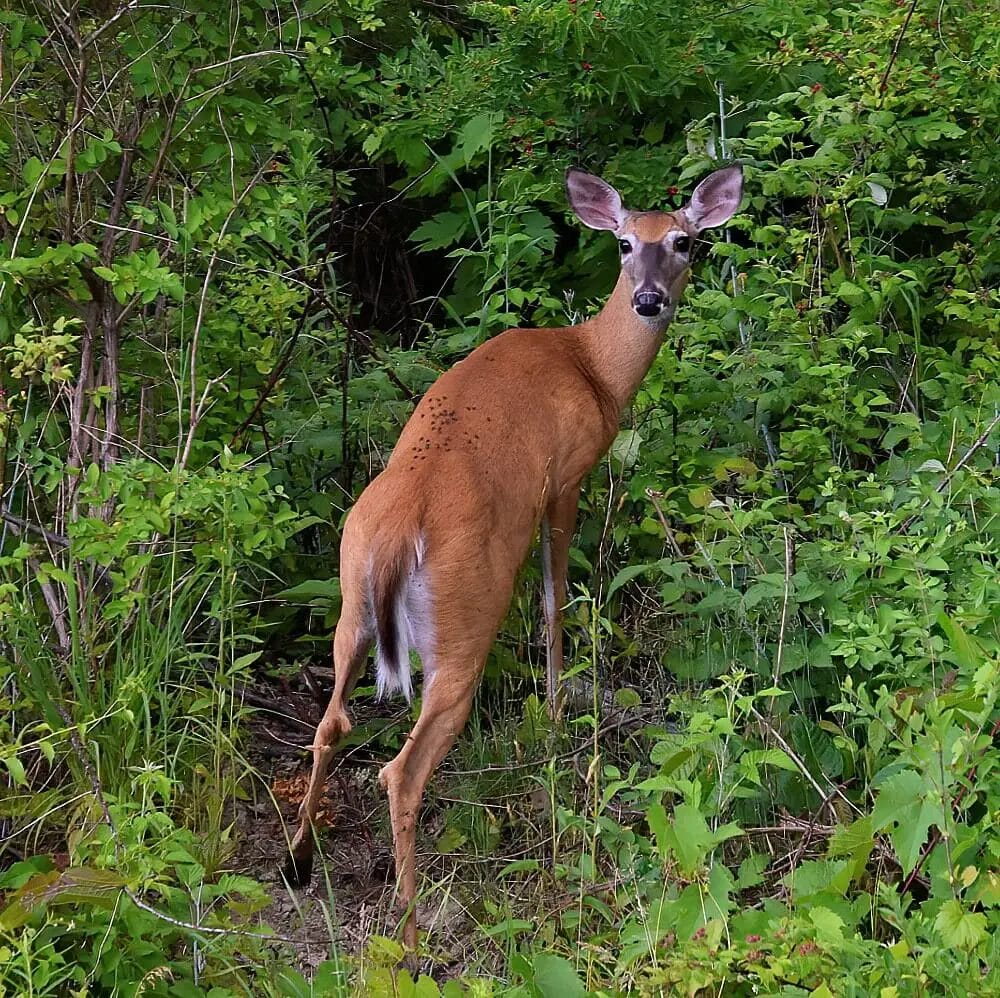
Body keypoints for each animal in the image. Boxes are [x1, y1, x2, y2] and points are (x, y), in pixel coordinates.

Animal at [282, 162, 744, 952]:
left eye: (683, 241)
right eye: (625, 243)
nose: (650, 299)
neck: (592, 366)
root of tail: (397, 528)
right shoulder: (566, 479)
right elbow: (557, 602)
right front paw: (557, 717)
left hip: (350, 596)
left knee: (330, 723)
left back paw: (299, 862)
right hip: (464, 617)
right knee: (401, 772)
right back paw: (411, 933)